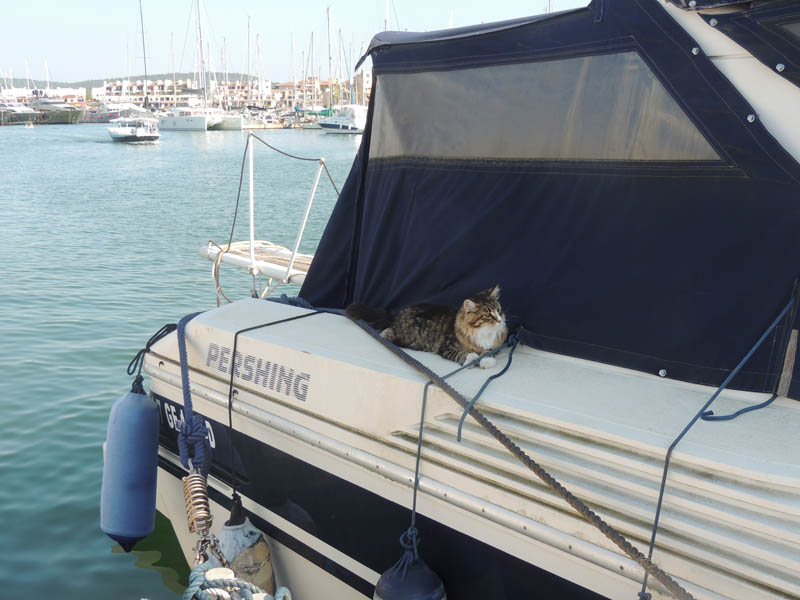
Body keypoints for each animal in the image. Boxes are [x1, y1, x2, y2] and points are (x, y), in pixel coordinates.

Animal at [344, 284, 506, 368]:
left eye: (498, 310)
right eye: (487, 315)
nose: (499, 320)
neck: (483, 331)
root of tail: (397, 314)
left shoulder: (492, 346)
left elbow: (487, 352)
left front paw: (486, 361)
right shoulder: (446, 347)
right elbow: (463, 354)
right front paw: (471, 358)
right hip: (410, 337)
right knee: (386, 333)